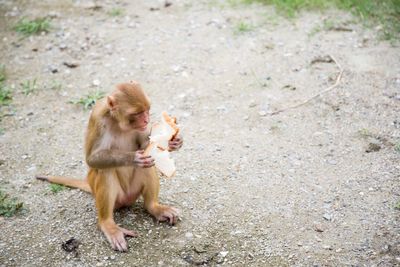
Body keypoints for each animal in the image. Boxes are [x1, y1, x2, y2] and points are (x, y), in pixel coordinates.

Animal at [36, 81, 183, 251]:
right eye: (137, 113)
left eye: (147, 110)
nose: (147, 120)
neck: (118, 122)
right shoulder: (98, 118)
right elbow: (92, 159)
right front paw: (134, 158)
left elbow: (148, 145)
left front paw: (174, 142)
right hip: (115, 197)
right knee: (105, 171)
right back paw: (108, 225)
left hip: (133, 192)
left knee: (148, 167)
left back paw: (154, 207)